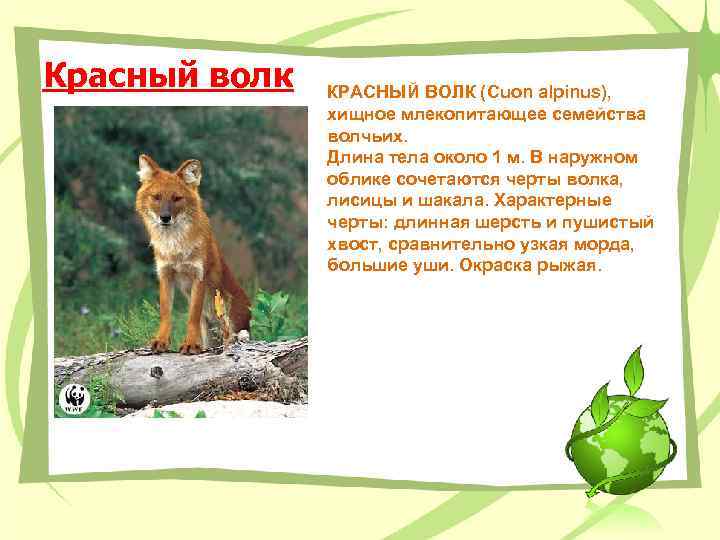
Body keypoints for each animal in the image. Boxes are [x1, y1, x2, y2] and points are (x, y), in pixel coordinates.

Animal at [135, 154, 251, 354]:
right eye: (156, 197)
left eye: (177, 198)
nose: (165, 217)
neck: (175, 246)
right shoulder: (165, 274)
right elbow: (165, 313)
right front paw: (161, 340)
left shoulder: (199, 275)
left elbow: (193, 315)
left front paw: (190, 344)